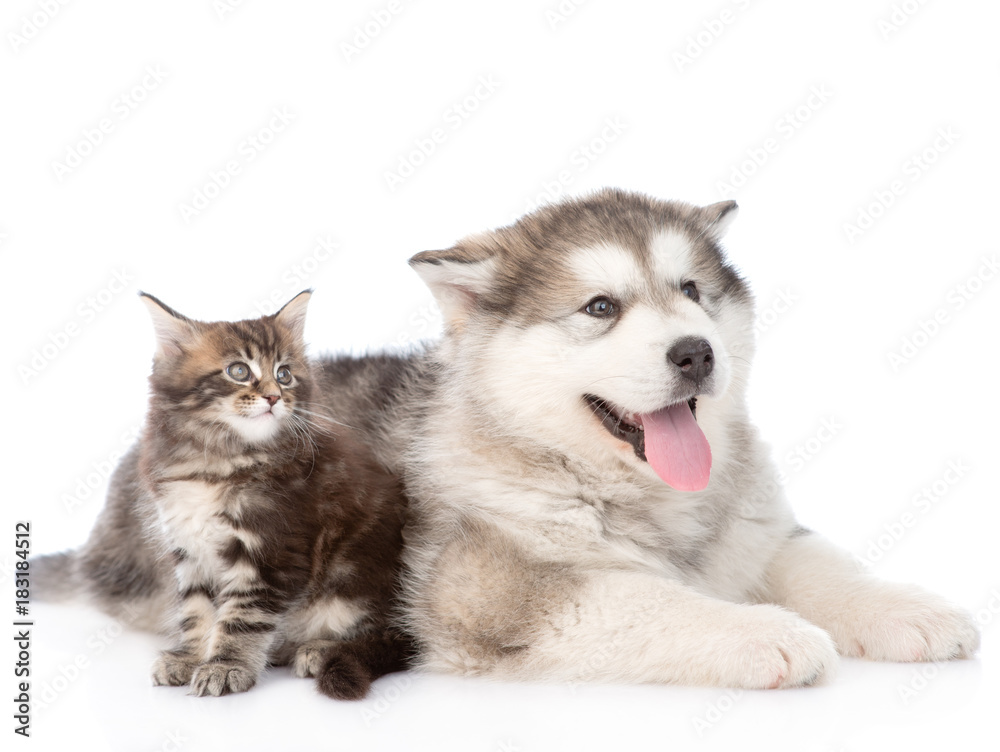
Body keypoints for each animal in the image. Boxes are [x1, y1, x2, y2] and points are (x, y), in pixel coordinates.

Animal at [35, 290, 410, 700]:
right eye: (239, 371)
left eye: (284, 374)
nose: (274, 397)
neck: (215, 462)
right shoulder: (188, 549)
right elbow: (197, 611)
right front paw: (189, 657)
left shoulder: (269, 552)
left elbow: (242, 617)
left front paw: (226, 666)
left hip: (355, 582)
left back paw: (319, 650)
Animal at [352, 188, 976, 688]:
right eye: (600, 306)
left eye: (691, 290)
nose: (695, 352)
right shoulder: (488, 592)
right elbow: (648, 597)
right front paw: (760, 631)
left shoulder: (755, 529)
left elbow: (817, 563)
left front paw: (906, 607)